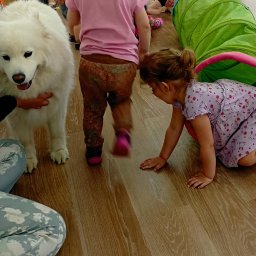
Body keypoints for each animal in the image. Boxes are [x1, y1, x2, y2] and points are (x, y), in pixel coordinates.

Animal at [0, 0, 74, 172]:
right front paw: (27, 160)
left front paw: (59, 151)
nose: (18, 78)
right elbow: (25, 141)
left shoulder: (57, 104)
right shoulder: (16, 116)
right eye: (5, 57)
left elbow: (57, 131)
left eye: (28, 54)